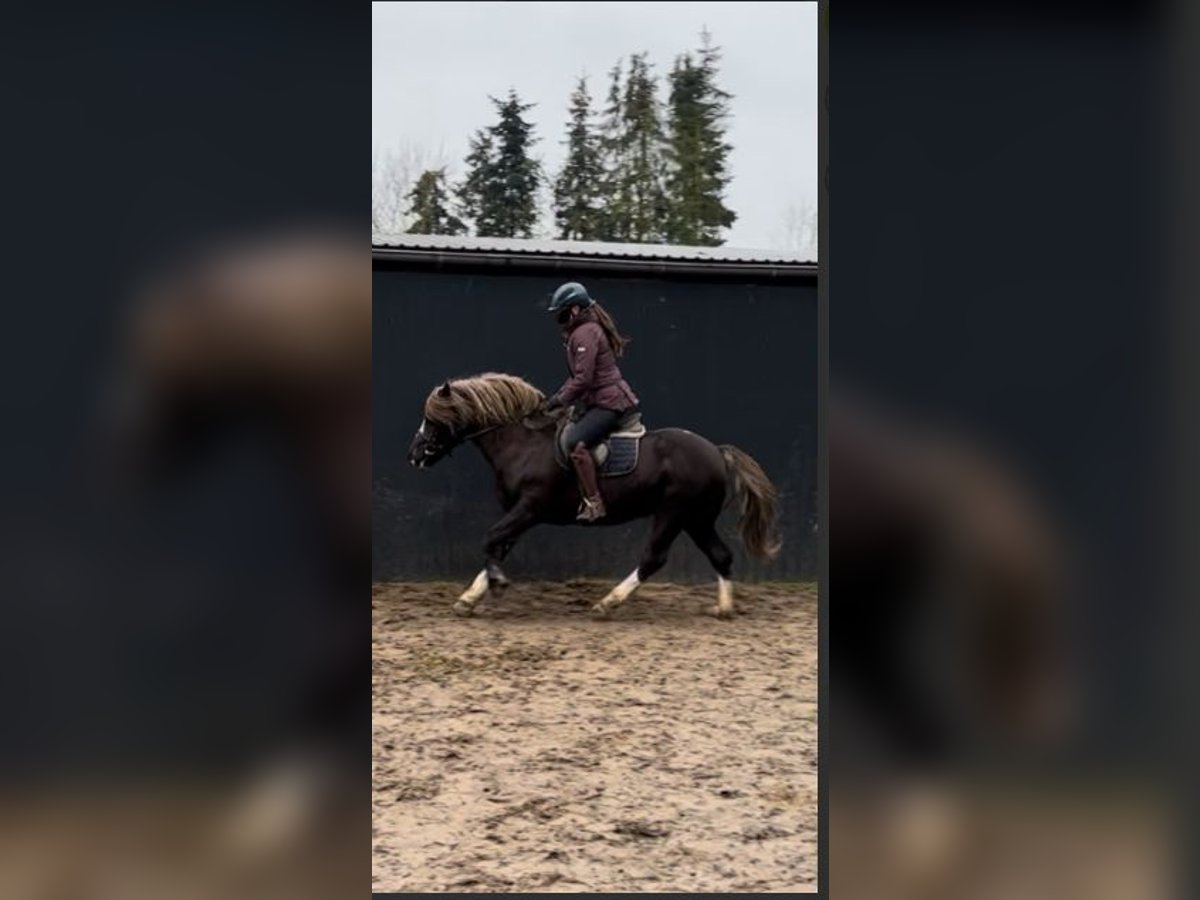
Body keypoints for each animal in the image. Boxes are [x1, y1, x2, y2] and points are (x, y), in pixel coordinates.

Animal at [403, 374, 782, 619]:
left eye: (432, 419)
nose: (415, 455)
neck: (522, 444)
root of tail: (717, 451)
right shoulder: (518, 513)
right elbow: (498, 546)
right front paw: (470, 598)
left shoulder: (529, 509)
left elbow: (490, 540)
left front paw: (496, 584)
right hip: (696, 519)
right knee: (720, 556)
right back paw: (724, 608)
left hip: (673, 513)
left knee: (653, 558)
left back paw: (607, 603)